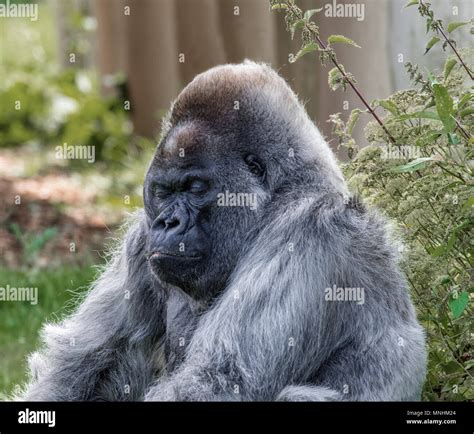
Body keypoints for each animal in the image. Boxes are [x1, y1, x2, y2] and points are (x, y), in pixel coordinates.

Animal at [20, 60, 426, 400]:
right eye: (163, 191)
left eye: (195, 187)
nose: (167, 222)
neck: (279, 197)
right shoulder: (140, 240)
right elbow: (82, 363)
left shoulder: (310, 231)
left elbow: (220, 379)